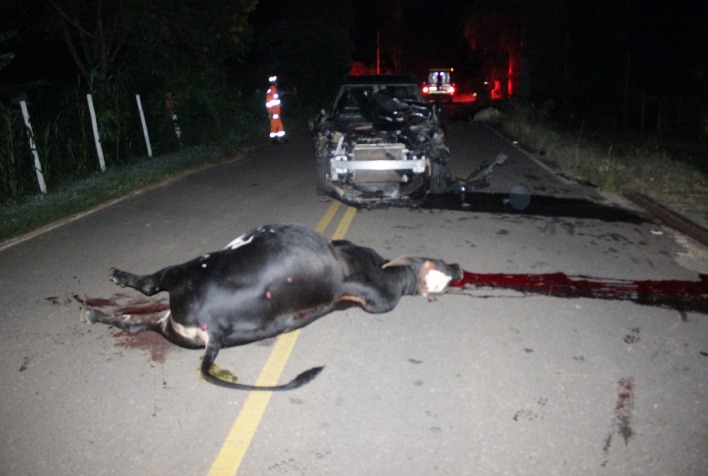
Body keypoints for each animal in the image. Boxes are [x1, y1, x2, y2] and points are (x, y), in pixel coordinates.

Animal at [84, 223, 460, 390]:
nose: (456, 267)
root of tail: (215, 331)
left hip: (185, 273)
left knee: (148, 285)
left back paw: (112, 285)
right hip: (170, 327)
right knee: (132, 322)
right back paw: (96, 312)